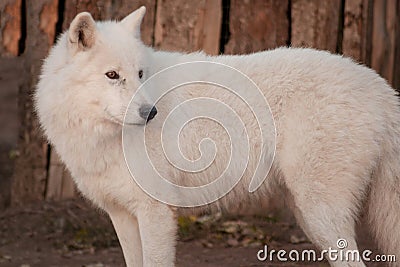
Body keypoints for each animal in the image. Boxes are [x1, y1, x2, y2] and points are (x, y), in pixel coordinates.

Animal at [34, 6, 400, 267]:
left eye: (139, 74)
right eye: (112, 75)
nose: (151, 113)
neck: (101, 137)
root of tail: (382, 87)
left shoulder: (156, 213)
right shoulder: (122, 215)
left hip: (320, 213)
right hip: (308, 214)